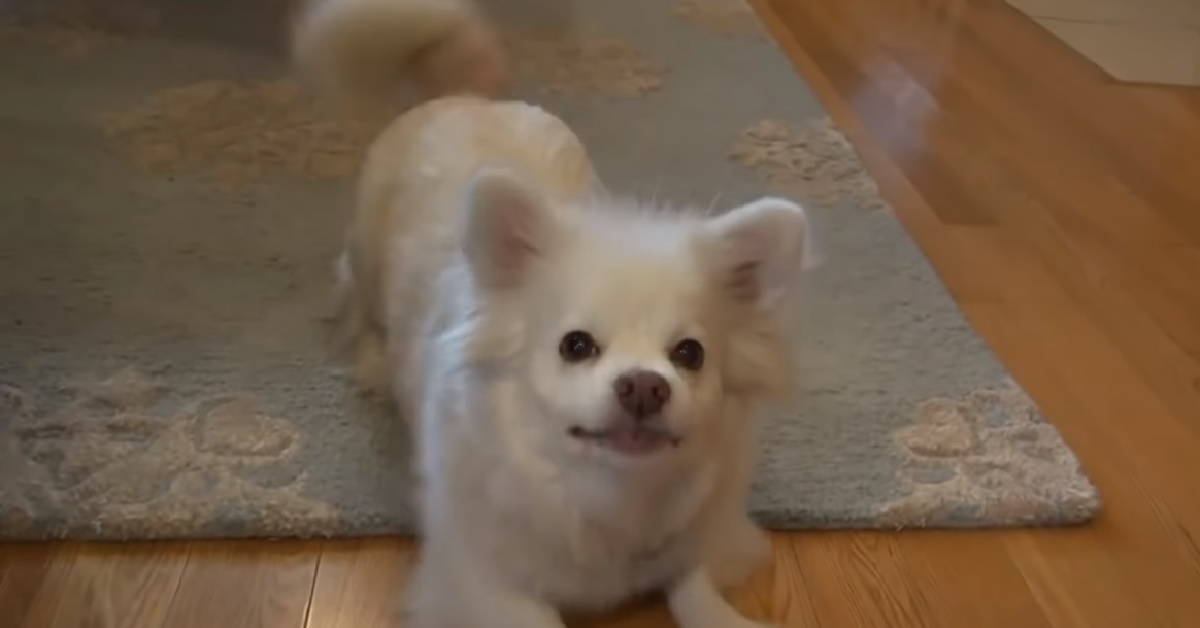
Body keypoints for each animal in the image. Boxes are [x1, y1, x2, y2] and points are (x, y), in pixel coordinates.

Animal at [291, 1, 816, 624]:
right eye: (576, 346)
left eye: (689, 355)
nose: (644, 386)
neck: (605, 497)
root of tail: (464, 95)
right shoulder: (483, 580)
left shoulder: (702, 538)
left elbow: (694, 583)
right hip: (365, 252)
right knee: (360, 305)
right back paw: (374, 360)